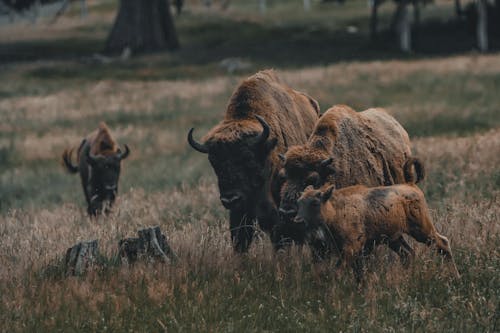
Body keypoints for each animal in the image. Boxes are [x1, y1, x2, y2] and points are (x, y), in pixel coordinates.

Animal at [292, 158, 460, 280]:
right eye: (299, 202)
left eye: (315, 202)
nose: (298, 221)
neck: (335, 209)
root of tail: (410, 184)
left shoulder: (352, 248)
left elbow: (340, 270)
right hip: (395, 239)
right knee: (408, 254)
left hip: (421, 230)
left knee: (442, 243)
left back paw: (456, 276)